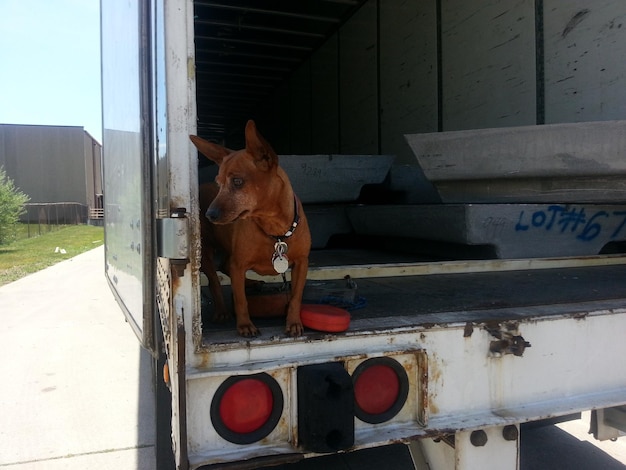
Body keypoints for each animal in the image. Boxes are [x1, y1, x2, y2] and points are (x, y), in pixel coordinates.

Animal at [188, 119, 310, 336]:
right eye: (219, 183)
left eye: (237, 181)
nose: (209, 215)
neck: (275, 229)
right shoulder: (239, 264)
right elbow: (240, 299)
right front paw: (245, 325)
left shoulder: (302, 264)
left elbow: (296, 296)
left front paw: (294, 322)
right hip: (206, 253)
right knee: (215, 280)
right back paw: (222, 310)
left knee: (225, 267)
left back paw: (251, 283)